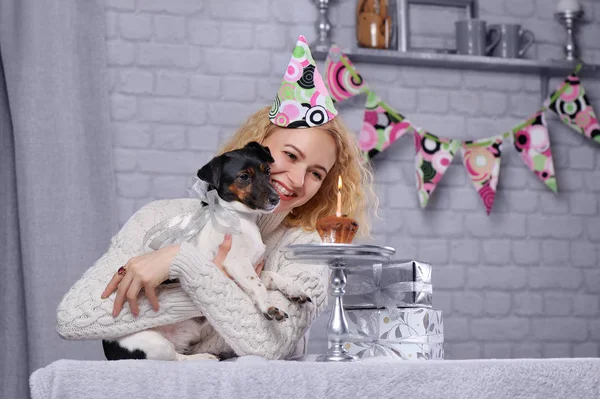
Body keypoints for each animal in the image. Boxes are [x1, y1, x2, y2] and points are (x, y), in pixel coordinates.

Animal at [101, 143, 312, 362]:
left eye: (268, 171)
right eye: (244, 176)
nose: (275, 199)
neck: (237, 217)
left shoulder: (248, 270)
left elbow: (270, 276)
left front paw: (294, 290)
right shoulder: (236, 263)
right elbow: (258, 285)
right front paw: (269, 307)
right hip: (153, 342)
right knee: (175, 358)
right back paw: (203, 357)